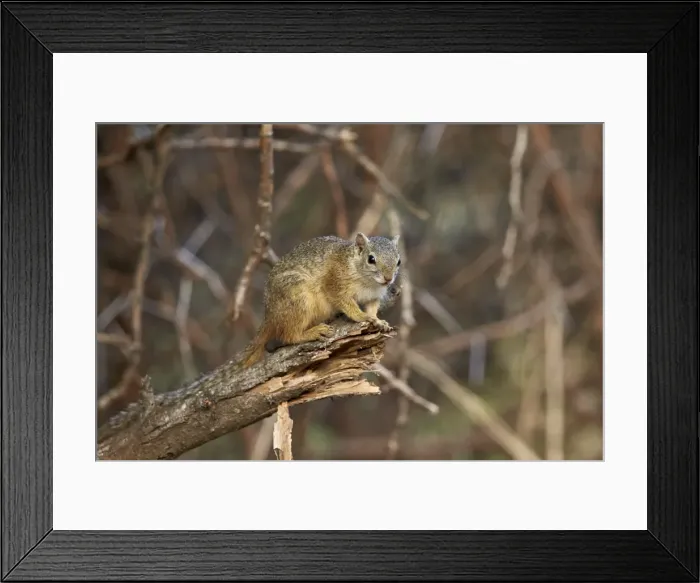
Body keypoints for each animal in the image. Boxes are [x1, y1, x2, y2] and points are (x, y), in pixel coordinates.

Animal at [238, 232, 402, 368]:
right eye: (371, 259)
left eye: (399, 261)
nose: (388, 279)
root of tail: (270, 314)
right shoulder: (334, 283)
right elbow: (345, 302)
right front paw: (362, 316)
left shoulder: (373, 296)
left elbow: (373, 308)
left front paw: (379, 321)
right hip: (298, 299)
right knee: (289, 335)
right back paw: (313, 332)